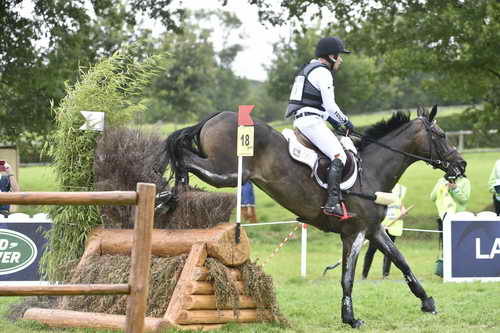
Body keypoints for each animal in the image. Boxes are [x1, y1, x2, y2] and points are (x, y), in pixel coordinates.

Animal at [163, 105, 464, 326]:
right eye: (440, 135)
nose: (461, 165)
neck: (372, 171)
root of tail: (217, 116)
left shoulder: (374, 230)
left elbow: (402, 262)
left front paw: (427, 302)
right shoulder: (354, 233)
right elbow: (347, 276)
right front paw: (350, 317)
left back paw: (172, 196)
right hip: (227, 171)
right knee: (184, 157)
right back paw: (172, 194)